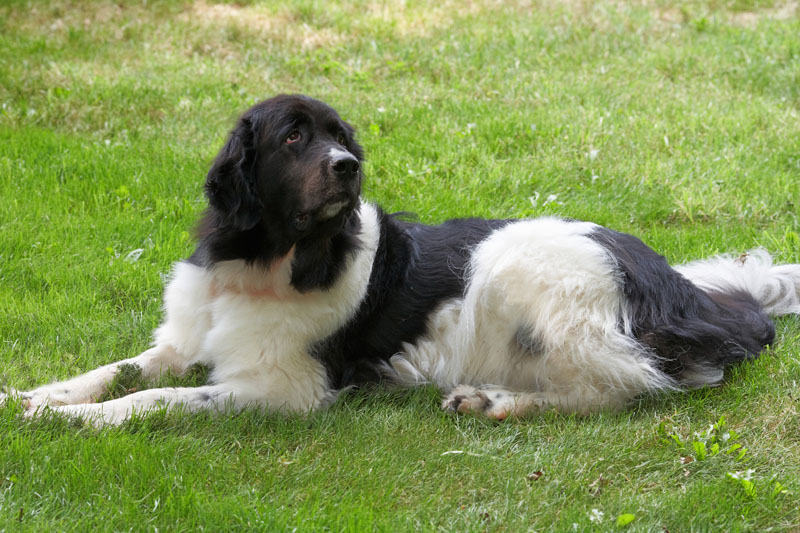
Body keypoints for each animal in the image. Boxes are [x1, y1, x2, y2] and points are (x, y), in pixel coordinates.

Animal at [4, 94, 800, 425]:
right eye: (293, 137)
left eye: (339, 136)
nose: (347, 167)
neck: (268, 260)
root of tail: (685, 291)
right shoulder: (182, 337)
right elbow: (120, 370)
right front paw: (35, 398)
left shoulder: (283, 387)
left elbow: (161, 397)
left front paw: (85, 422)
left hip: (515, 266)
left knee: (624, 386)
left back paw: (493, 401)